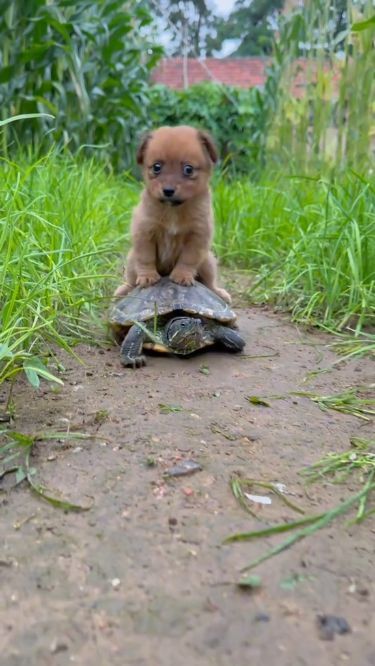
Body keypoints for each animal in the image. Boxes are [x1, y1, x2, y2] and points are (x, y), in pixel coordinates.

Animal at [114, 124, 231, 300]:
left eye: (188, 169)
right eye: (157, 167)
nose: (168, 190)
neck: (173, 210)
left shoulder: (197, 237)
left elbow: (188, 259)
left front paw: (182, 276)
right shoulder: (144, 233)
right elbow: (146, 258)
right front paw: (148, 276)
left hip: (207, 261)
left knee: (209, 283)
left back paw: (219, 293)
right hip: (131, 259)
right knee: (131, 280)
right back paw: (123, 291)